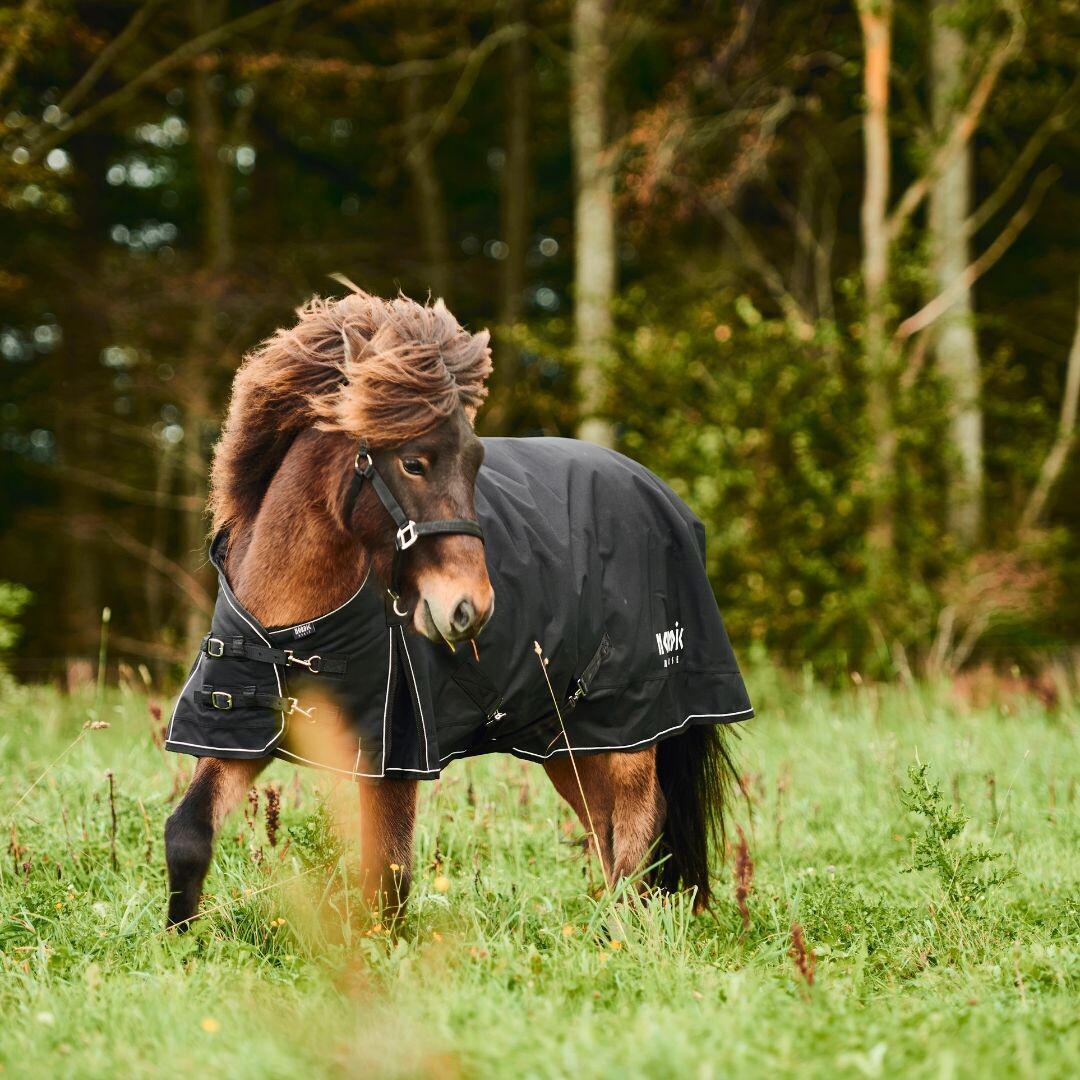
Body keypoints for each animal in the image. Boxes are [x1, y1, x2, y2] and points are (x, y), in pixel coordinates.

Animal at [162, 287, 751, 928]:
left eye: (474, 462)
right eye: (413, 462)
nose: (471, 608)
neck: (296, 632)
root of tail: (663, 497)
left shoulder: (394, 756)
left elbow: (389, 874)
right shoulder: (234, 734)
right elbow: (187, 834)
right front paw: (181, 940)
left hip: (629, 725)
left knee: (639, 822)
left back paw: (620, 931)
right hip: (568, 738)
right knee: (606, 823)